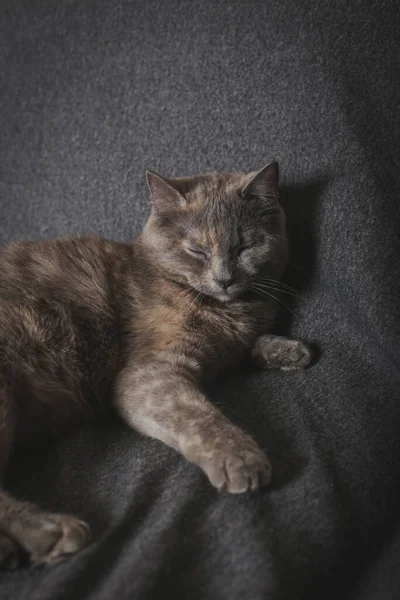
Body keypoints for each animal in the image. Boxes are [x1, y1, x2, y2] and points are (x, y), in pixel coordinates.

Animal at [0, 162, 310, 568]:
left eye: (245, 246)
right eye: (196, 249)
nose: (225, 279)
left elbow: (247, 347)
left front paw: (287, 350)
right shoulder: (148, 372)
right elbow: (197, 415)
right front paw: (240, 458)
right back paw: (52, 532)